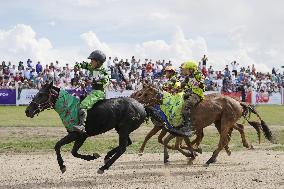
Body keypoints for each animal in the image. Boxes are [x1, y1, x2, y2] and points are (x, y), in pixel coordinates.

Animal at [132, 85, 274, 165]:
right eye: (139, 93)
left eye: (144, 93)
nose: (133, 99)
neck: (170, 106)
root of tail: (238, 102)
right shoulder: (176, 130)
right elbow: (172, 142)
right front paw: (188, 155)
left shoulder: (179, 129)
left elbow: (176, 143)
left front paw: (192, 154)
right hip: (220, 122)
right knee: (234, 132)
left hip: (225, 122)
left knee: (224, 140)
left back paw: (211, 159)